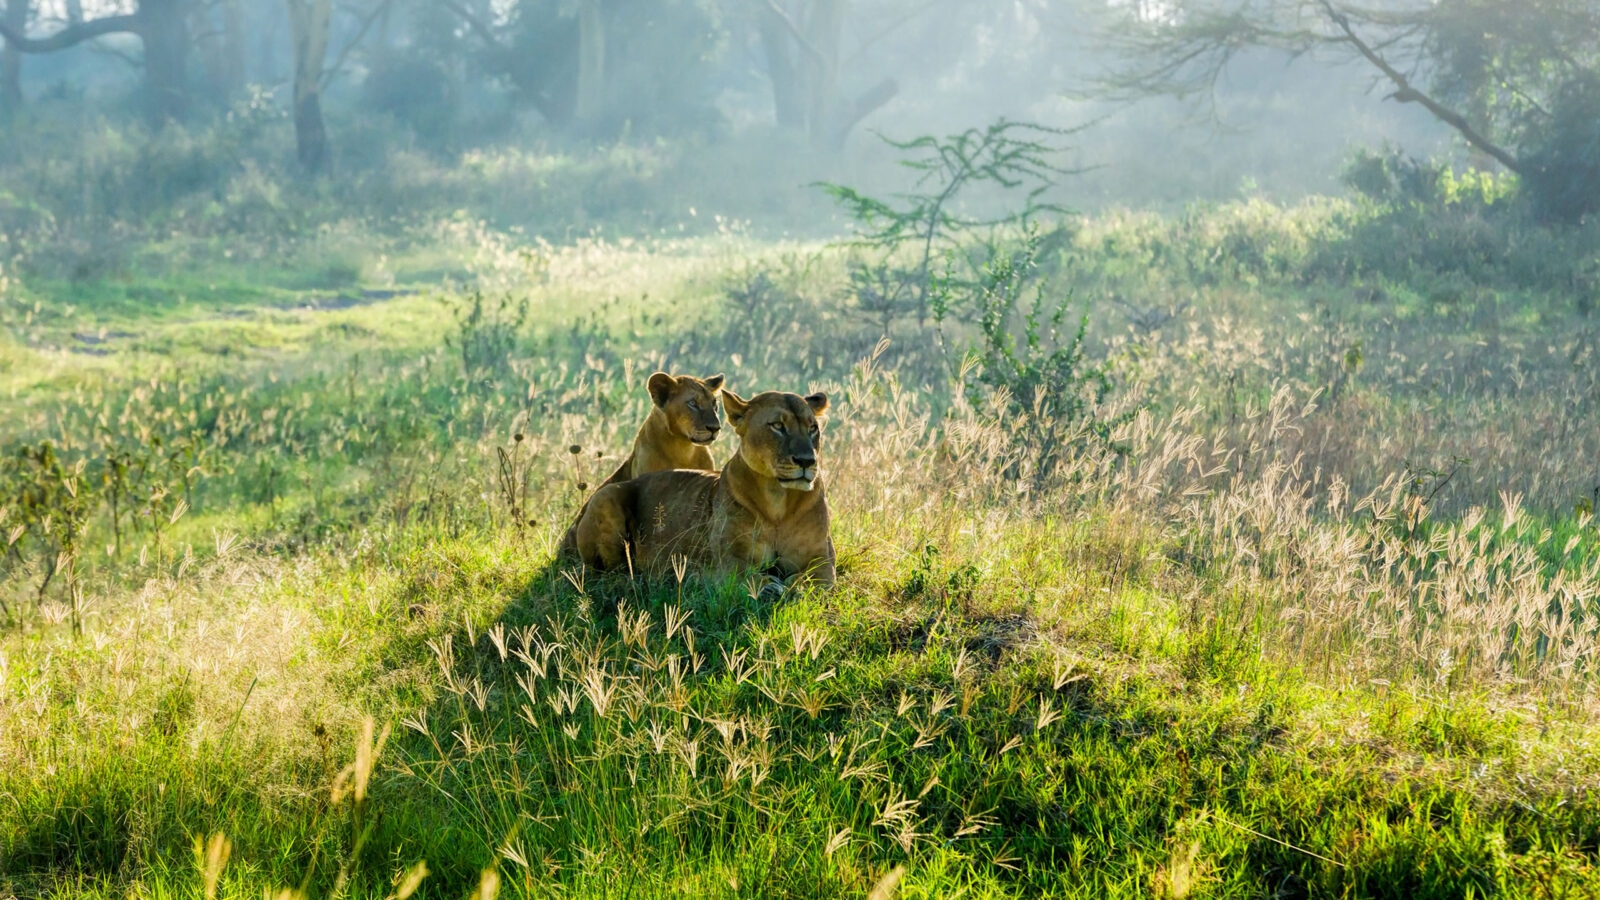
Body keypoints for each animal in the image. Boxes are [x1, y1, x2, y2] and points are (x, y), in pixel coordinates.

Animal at [571, 388, 835, 587]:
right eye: (778, 426)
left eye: (813, 428)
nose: (806, 461)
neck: (778, 502)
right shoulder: (729, 560)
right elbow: (749, 577)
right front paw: (770, 586)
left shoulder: (822, 559)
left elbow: (808, 581)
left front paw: (792, 587)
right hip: (606, 497)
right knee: (611, 573)